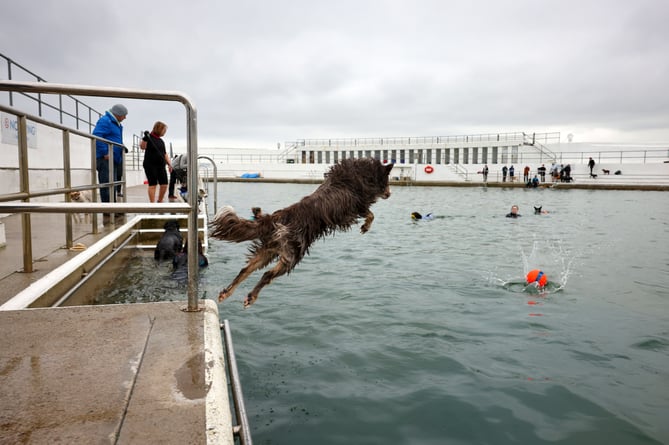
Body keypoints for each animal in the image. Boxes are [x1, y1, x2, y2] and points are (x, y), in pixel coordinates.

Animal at [211, 158, 394, 306]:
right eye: (387, 180)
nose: (390, 194)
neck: (361, 173)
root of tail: (276, 218)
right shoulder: (355, 206)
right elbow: (371, 214)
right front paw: (366, 226)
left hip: (269, 250)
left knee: (246, 270)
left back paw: (226, 292)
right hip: (293, 253)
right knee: (267, 275)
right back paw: (251, 297)